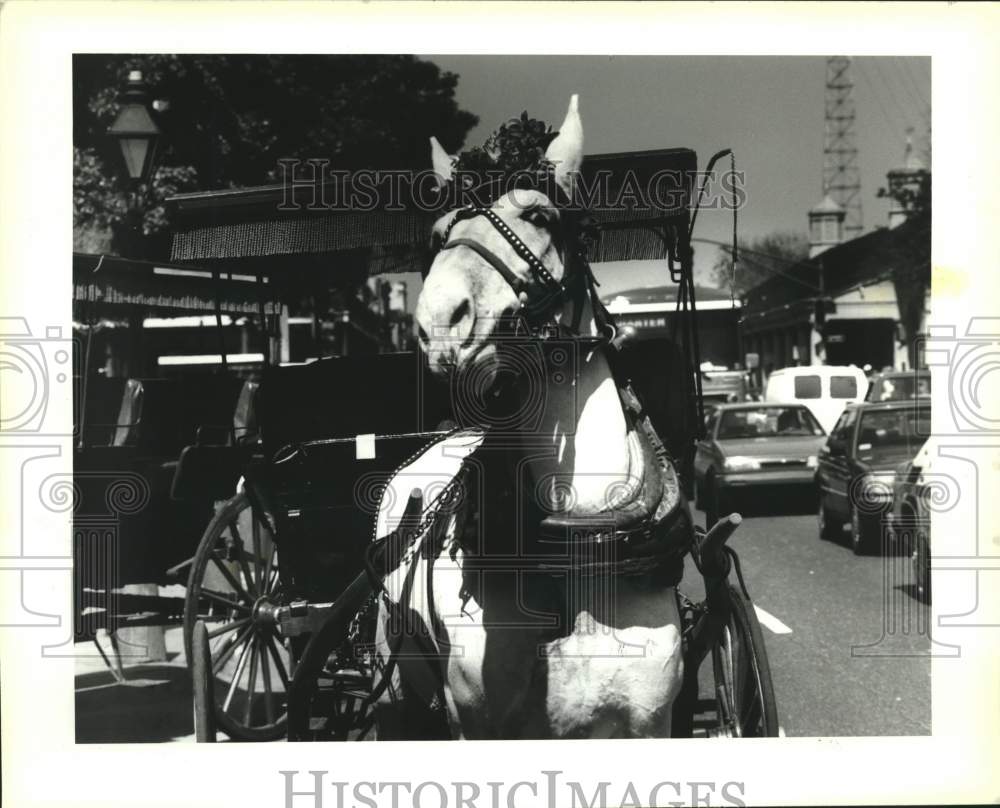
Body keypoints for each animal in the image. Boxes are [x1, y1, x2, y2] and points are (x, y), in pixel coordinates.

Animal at [376, 96, 688, 740]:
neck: (582, 546)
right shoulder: (477, 723)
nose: (440, 322)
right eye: (439, 235)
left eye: (542, 216)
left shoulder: (651, 722)